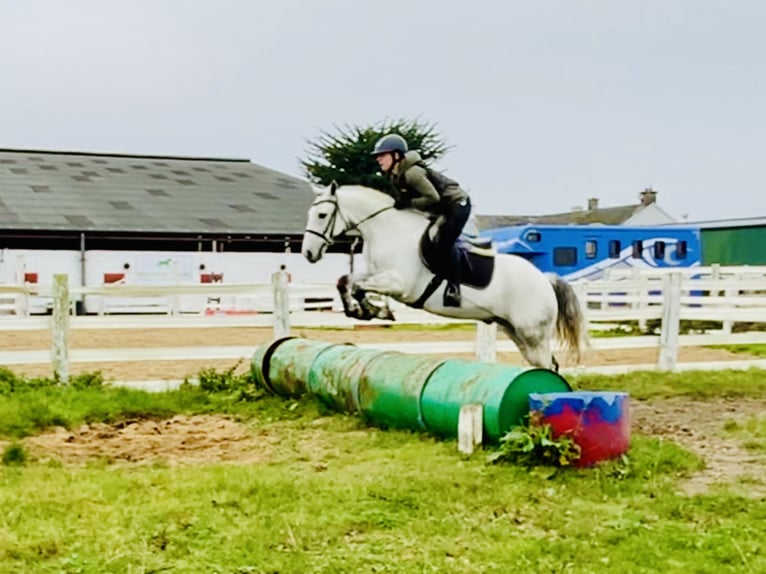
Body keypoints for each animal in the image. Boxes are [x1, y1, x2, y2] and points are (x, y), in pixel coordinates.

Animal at [300, 182, 588, 372]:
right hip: (516, 331)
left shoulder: (398, 284)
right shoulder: (375, 273)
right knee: (547, 365)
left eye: (322, 215)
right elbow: (346, 282)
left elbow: (358, 286)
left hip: (533, 334)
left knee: (548, 365)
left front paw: (373, 310)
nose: (308, 253)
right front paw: (367, 311)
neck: (386, 229)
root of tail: (545, 280)